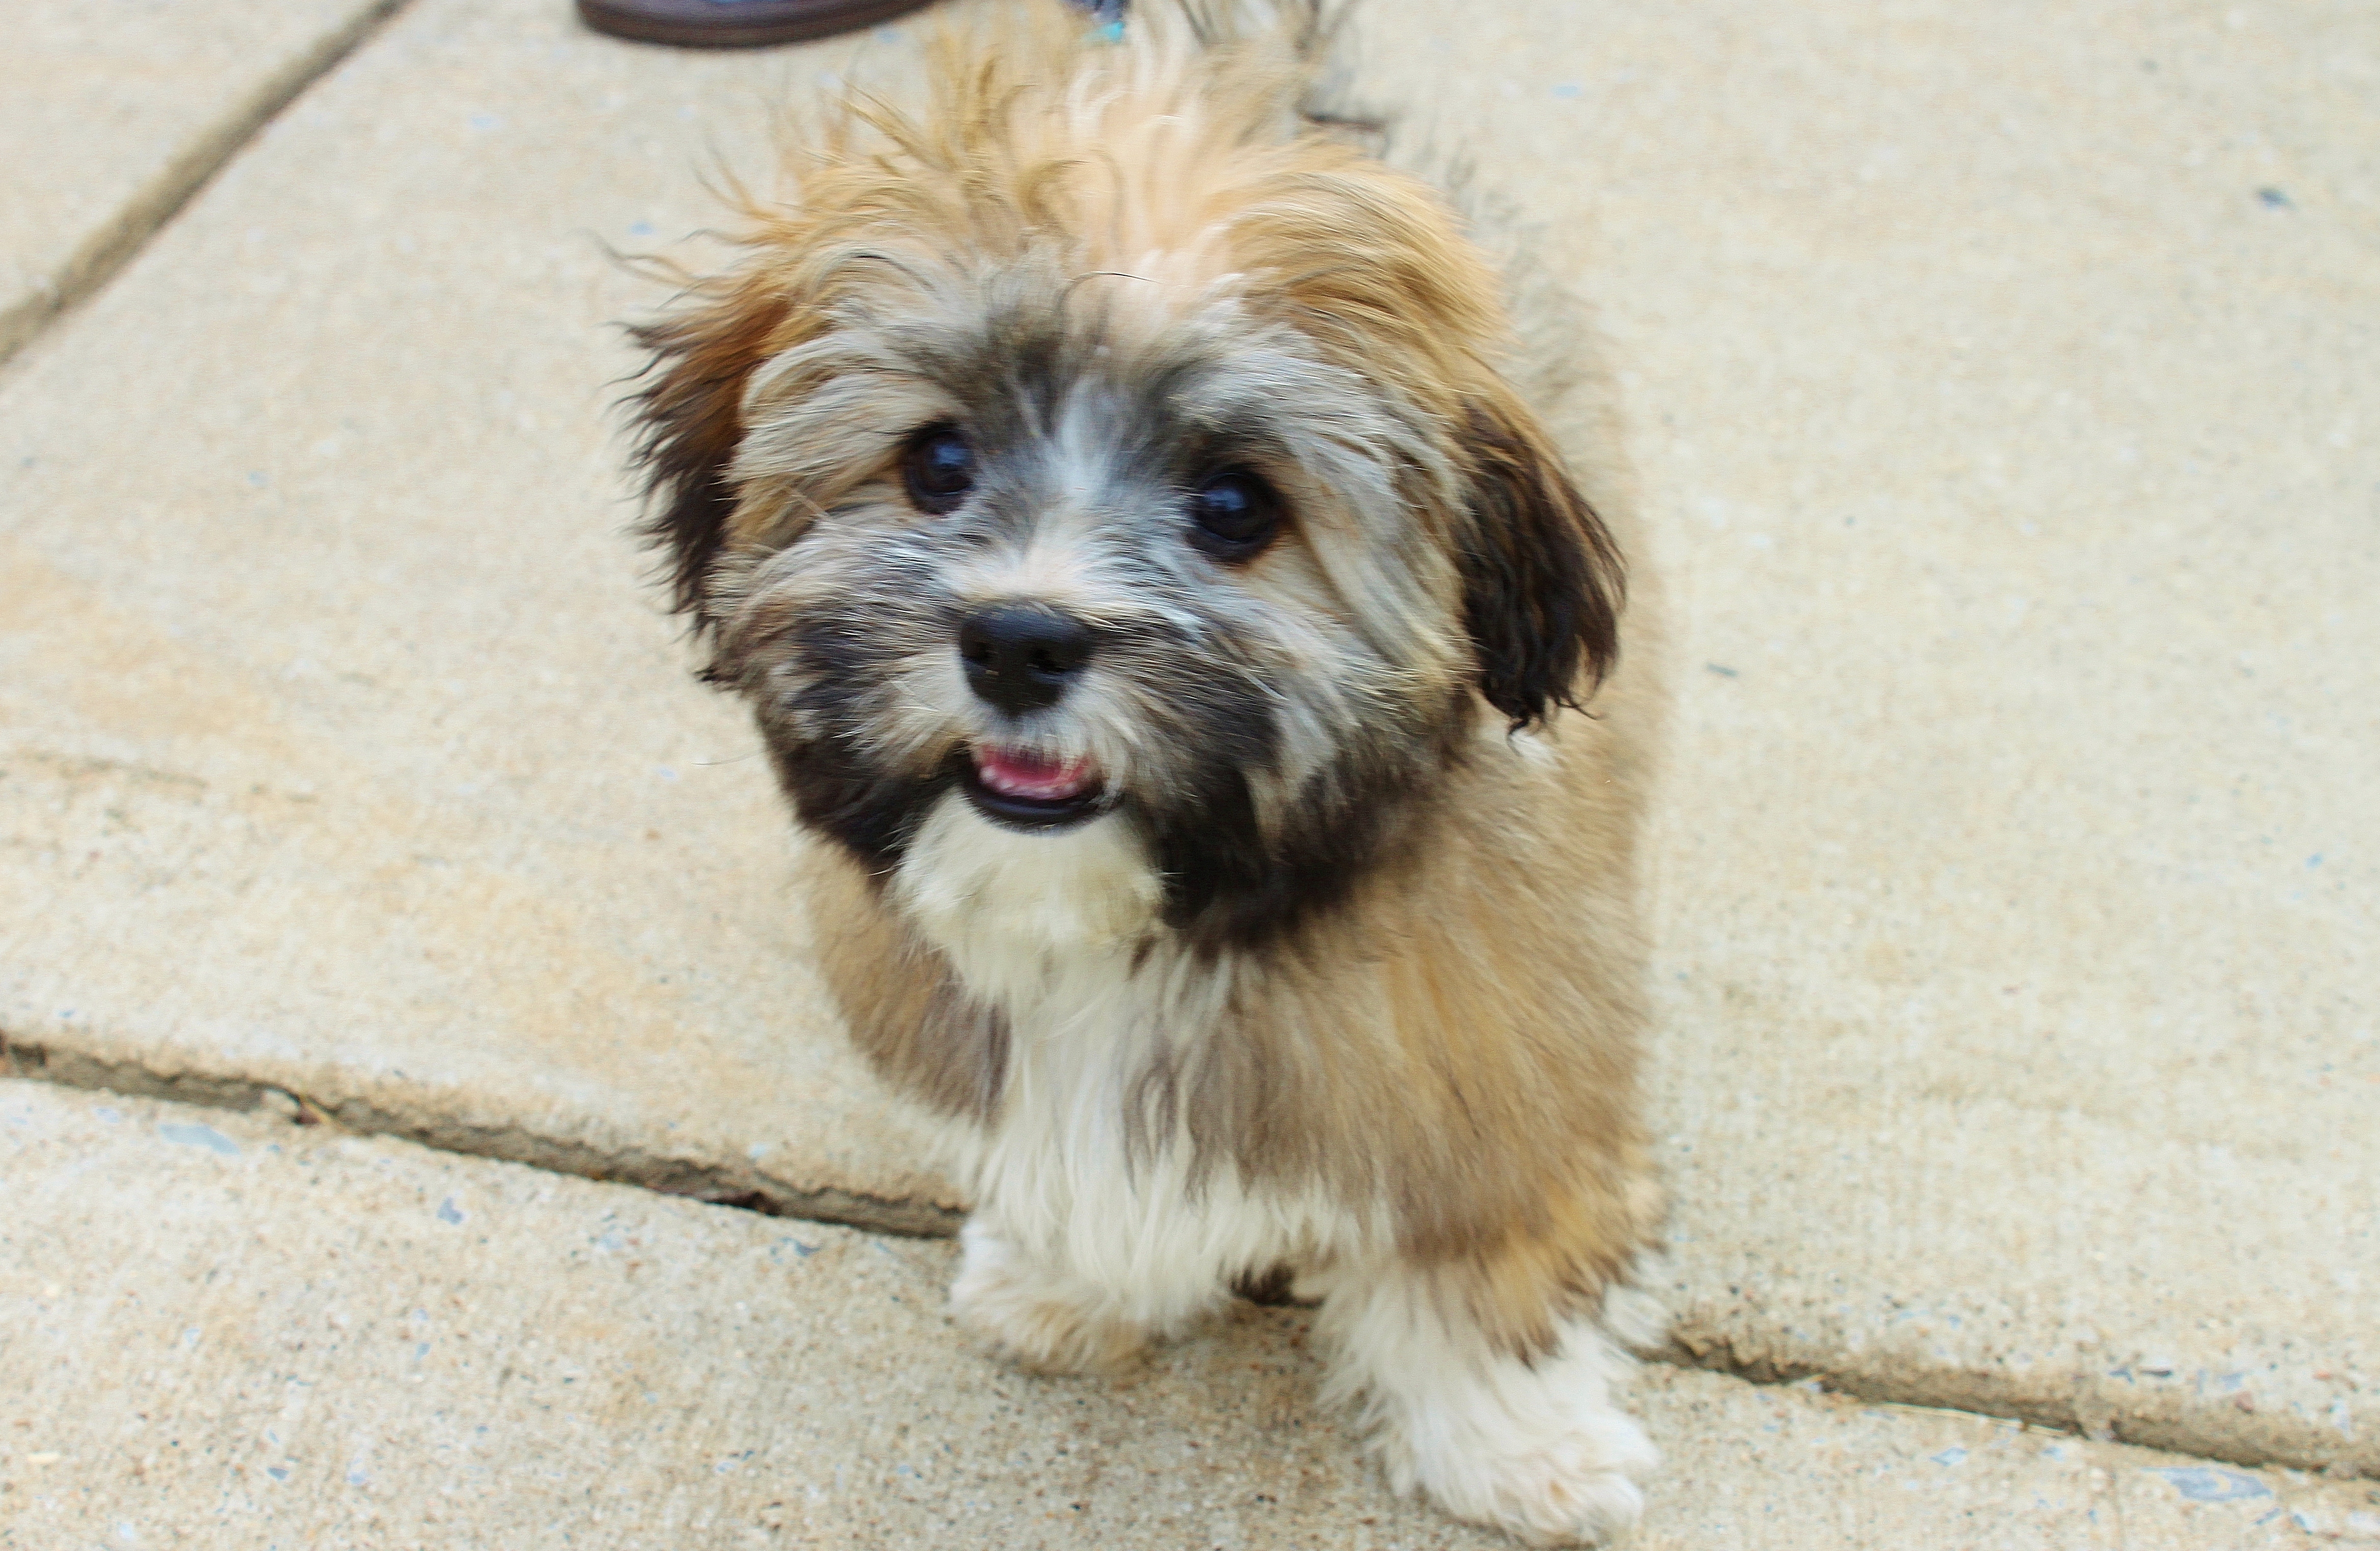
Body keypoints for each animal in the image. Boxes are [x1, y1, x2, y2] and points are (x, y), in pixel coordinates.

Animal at [624, 6, 1666, 1541]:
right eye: (937, 460)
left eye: (1236, 504)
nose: (1019, 638)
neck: (1148, 930)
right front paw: (1066, 1282)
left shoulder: (1496, 1076)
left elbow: (1486, 1265)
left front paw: (1512, 1444)